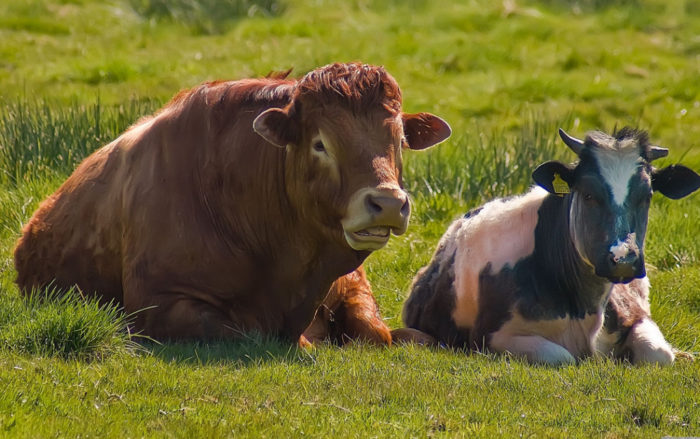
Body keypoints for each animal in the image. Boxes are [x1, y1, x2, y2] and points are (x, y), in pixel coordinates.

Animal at [17, 62, 454, 340]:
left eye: (400, 140)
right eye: (320, 144)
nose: (388, 203)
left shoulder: (351, 283)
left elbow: (381, 333)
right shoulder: (158, 302)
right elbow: (248, 332)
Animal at [400, 128, 700, 368]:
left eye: (647, 195)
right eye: (588, 194)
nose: (623, 259)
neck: (584, 306)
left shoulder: (636, 314)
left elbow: (659, 354)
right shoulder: (492, 336)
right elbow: (561, 357)